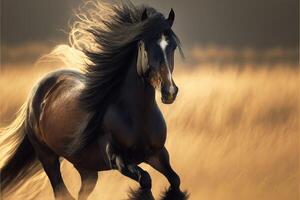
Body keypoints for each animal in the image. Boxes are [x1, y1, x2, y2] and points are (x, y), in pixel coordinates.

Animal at [0, 1, 188, 200]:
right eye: (144, 45)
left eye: (173, 47)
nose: (169, 92)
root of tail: (38, 90)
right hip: (48, 157)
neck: (137, 117)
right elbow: (145, 179)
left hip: (87, 169)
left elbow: (175, 180)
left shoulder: (158, 154)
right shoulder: (118, 159)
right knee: (60, 190)